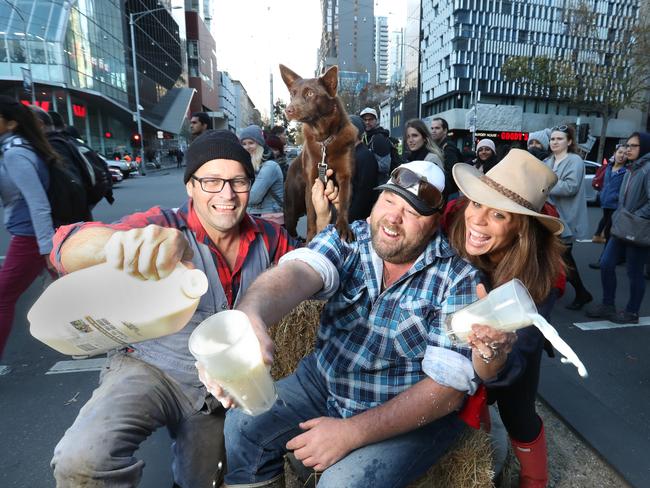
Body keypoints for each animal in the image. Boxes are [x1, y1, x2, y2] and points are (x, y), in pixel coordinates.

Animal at [278, 63, 354, 241]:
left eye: (310, 93)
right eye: (292, 94)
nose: (288, 110)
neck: (324, 139)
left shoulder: (345, 176)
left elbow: (344, 204)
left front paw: (343, 226)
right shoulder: (312, 180)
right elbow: (312, 214)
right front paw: (311, 236)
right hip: (291, 208)